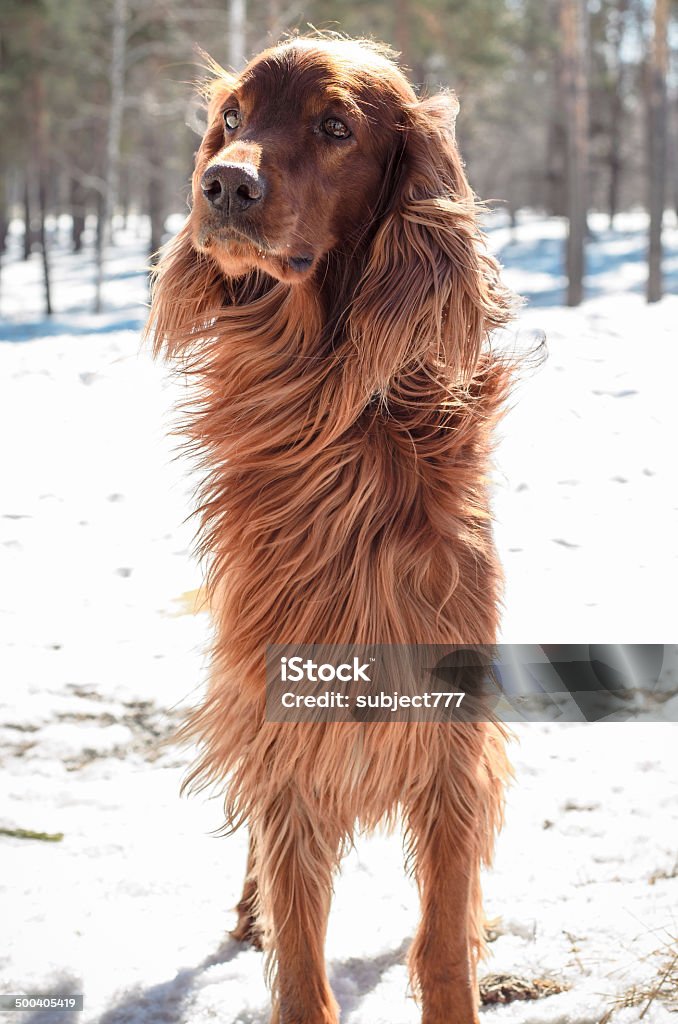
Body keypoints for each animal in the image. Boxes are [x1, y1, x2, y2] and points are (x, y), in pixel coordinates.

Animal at [147, 34, 516, 1024]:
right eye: (231, 118)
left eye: (337, 127)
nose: (224, 185)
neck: (330, 418)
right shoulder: (289, 726)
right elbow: (302, 956)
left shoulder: (449, 733)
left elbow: (442, 941)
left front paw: (462, 953)